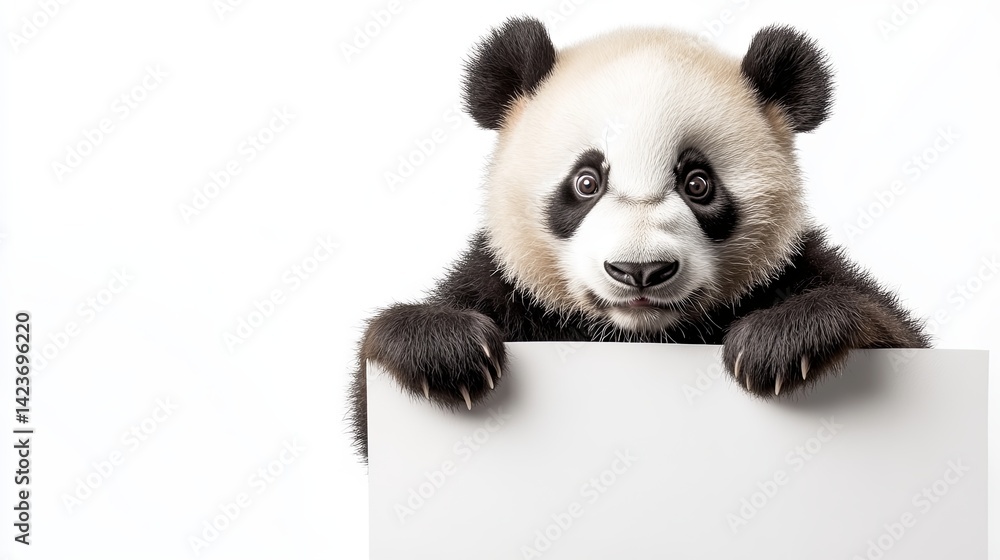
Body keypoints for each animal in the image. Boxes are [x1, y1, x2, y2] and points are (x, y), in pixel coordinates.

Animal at [349, 17, 928, 459]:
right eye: (586, 182)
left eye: (698, 183)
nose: (640, 271)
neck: (641, 337)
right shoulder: (506, 286)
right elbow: (366, 411)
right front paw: (446, 349)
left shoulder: (791, 266)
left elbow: (894, 330)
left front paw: (781, 342)